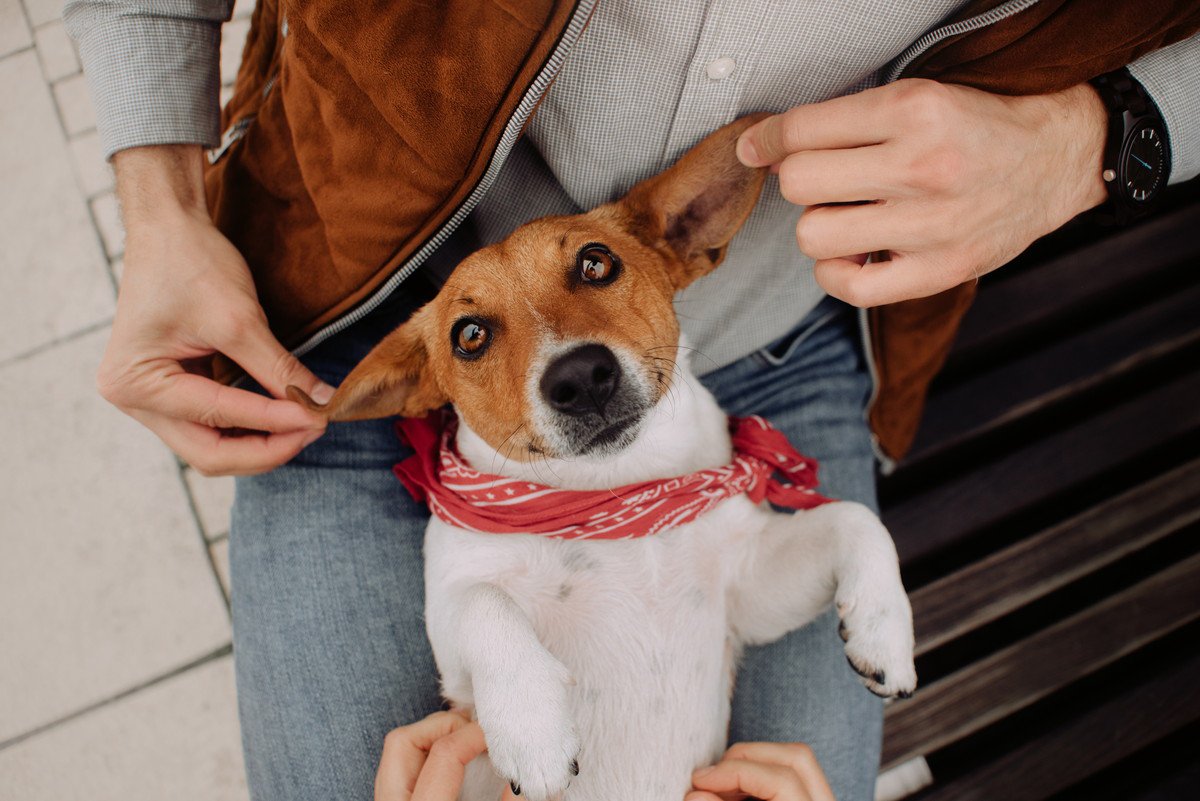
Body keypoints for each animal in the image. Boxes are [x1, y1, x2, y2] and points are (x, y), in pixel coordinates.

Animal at [292, 113, 916, 801]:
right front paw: (532, 728)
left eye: (596, 263)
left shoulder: (748, 590)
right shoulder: (452, 644)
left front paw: (885, 630)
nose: (580, 377)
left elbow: (856, 517)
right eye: (469, 335)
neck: (616, 492)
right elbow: (484, 603)